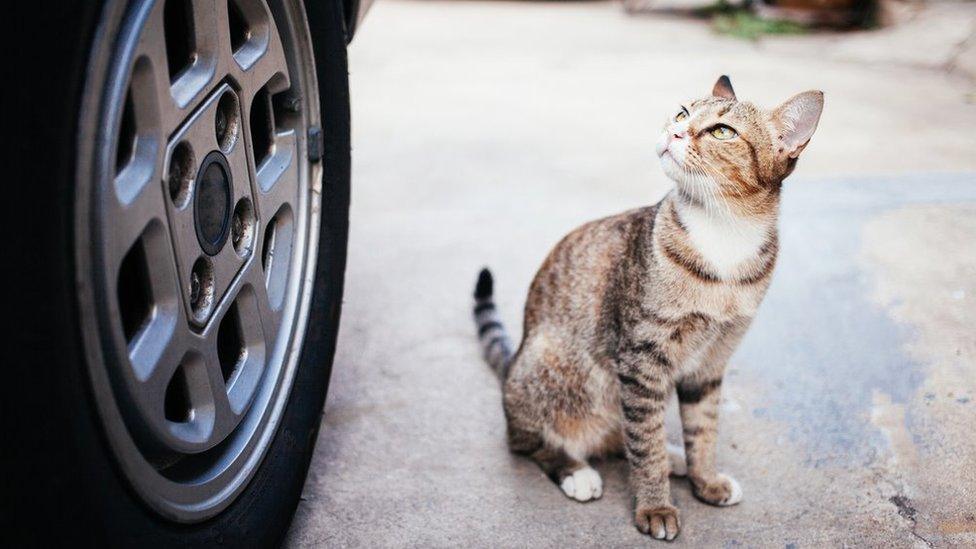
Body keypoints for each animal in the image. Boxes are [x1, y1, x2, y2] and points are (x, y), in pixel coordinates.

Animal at [472, 76, 824, 540]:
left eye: (722, 132)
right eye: (682, 113)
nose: (675, 132)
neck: (724, 234)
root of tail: (514, 360)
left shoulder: (711, 363)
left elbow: (702, 430)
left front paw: (704, 479)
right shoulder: (641, 360)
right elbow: (646, 445)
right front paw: (655, 506)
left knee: (623, 436)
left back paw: (674, 457)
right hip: (548, 367)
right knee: (530, 442)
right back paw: (576, 471)